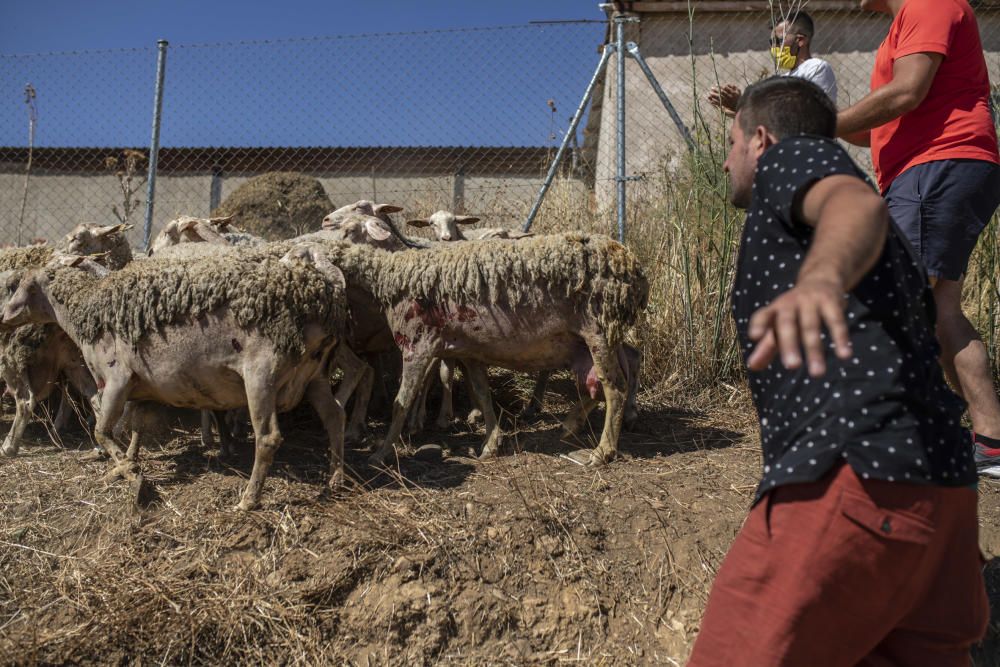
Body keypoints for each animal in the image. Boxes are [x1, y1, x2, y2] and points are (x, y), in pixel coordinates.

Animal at [1, 247, 352, 512]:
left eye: (25, 285)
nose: (4, 316)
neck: (86, 312)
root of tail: (325, 294)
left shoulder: (117, 377)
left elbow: (102, 430)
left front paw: (129, 471)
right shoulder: (142, 385)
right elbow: (135, 426)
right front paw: (125, 465)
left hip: (261, 373)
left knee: (268, 437)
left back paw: (249, 500)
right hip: (316, 373)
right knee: (335, 416)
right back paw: (335, 479)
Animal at [302, 232, 648, 468]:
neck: (388, 278)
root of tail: (635, 269)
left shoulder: (418, 344)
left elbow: (402, 402)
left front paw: (382, 452)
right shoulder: (468, 350)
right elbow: (482, 394)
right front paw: (491, 444)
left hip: (599, 328)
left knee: (615, 387)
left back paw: (602, 451)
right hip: (593, 340)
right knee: (607, 379)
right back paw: (571, 425)